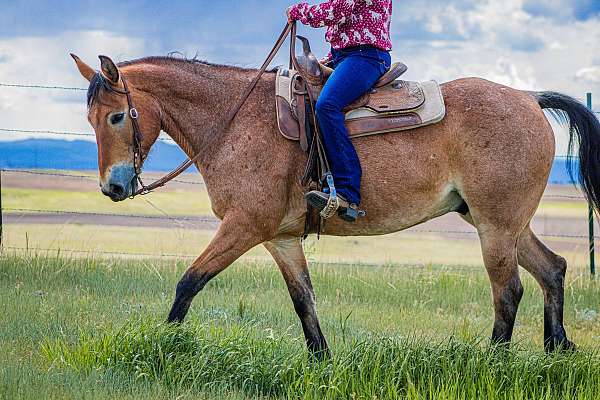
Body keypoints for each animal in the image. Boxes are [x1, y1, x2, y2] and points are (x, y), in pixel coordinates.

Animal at [71, 51, 600, 358]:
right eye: (91, 118)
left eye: (116, 116)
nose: (112, 187)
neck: (234, 119)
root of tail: (530, 99)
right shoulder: (281, 239)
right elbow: (303, 299)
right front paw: (321, 360)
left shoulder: (244, 227)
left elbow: (188, 283)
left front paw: (166, 342)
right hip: (501, 224)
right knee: (551, 268)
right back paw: (557, 347)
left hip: (495, 227)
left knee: (508, 291)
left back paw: (494, 360)